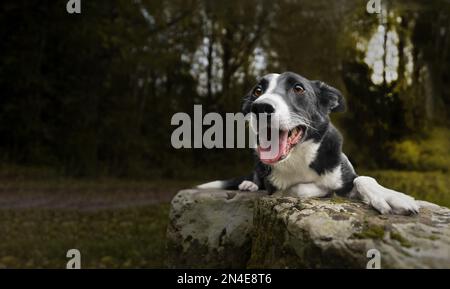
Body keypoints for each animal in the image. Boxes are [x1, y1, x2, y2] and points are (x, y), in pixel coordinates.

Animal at [199, 71, 420, 214]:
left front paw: (392, 197)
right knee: (255, 176)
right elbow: (298, 188)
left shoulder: (345, 173)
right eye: (257, 91)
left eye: (298, 88)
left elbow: (363, 179)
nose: (260, 107)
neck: (298, 156)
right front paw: (323, 190)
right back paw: (248, 184)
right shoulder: (276, 186)